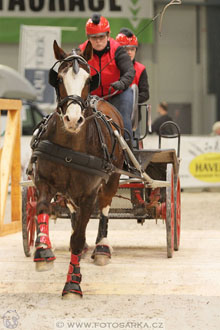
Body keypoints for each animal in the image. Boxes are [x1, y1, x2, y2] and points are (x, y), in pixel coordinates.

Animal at [30, 41, 124, 300]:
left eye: (89, 79)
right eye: (59, 79)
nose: (73, 119)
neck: (71, 144)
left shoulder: (89, 194)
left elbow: (78, 238)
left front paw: (72, 283)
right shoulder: (44, 181)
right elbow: (42, 208)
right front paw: (43, 251)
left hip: (112, 180)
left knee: (105, 208)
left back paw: (102, 247)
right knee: (72, 211)